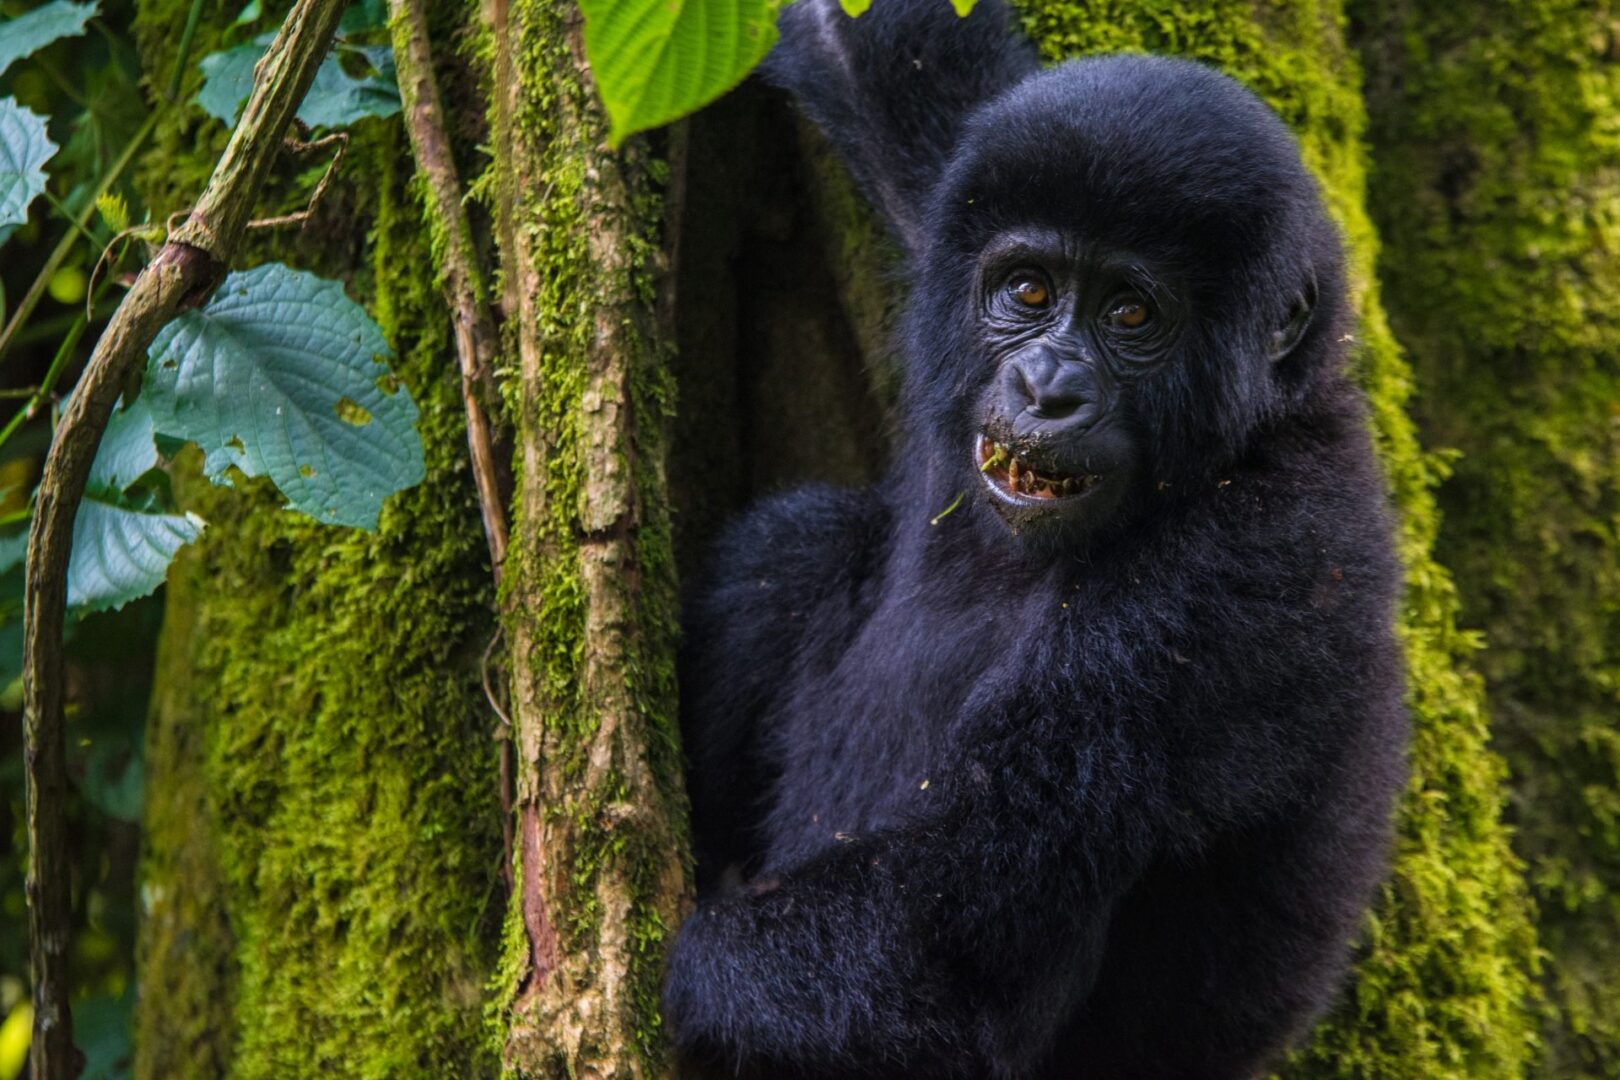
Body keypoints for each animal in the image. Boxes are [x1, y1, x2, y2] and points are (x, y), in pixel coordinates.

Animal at [657, 4, 1406, 1075]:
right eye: (1029, 291)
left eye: (1131, 311)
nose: (1047, 385)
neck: (1258, 426)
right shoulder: (970, 179)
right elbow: (874, 53)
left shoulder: (1241, 570)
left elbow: (930, 951)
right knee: (798, 544)